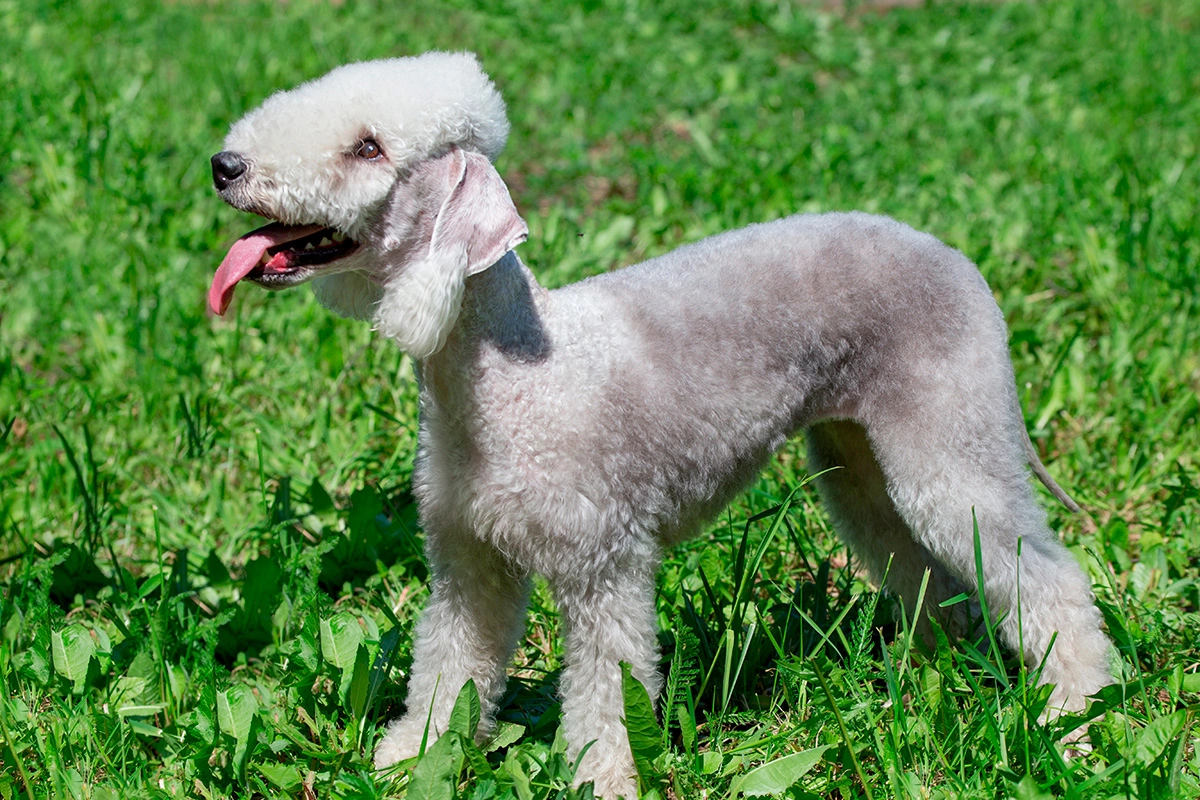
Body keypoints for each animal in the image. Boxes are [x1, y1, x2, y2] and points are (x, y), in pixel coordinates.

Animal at [208, 53, 1113, 796]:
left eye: (369, 148)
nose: (225, 165)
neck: (515, 375)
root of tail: (957, 258)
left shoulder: (604, 562)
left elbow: (608, 691)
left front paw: (599, 780)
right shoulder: (470, 564)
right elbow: (452, 663)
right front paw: (414, 756)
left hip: (952, 448)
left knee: (1051, 584)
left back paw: (1075, 724)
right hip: (863, 466)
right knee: (932, 577)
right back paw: (933, 679)